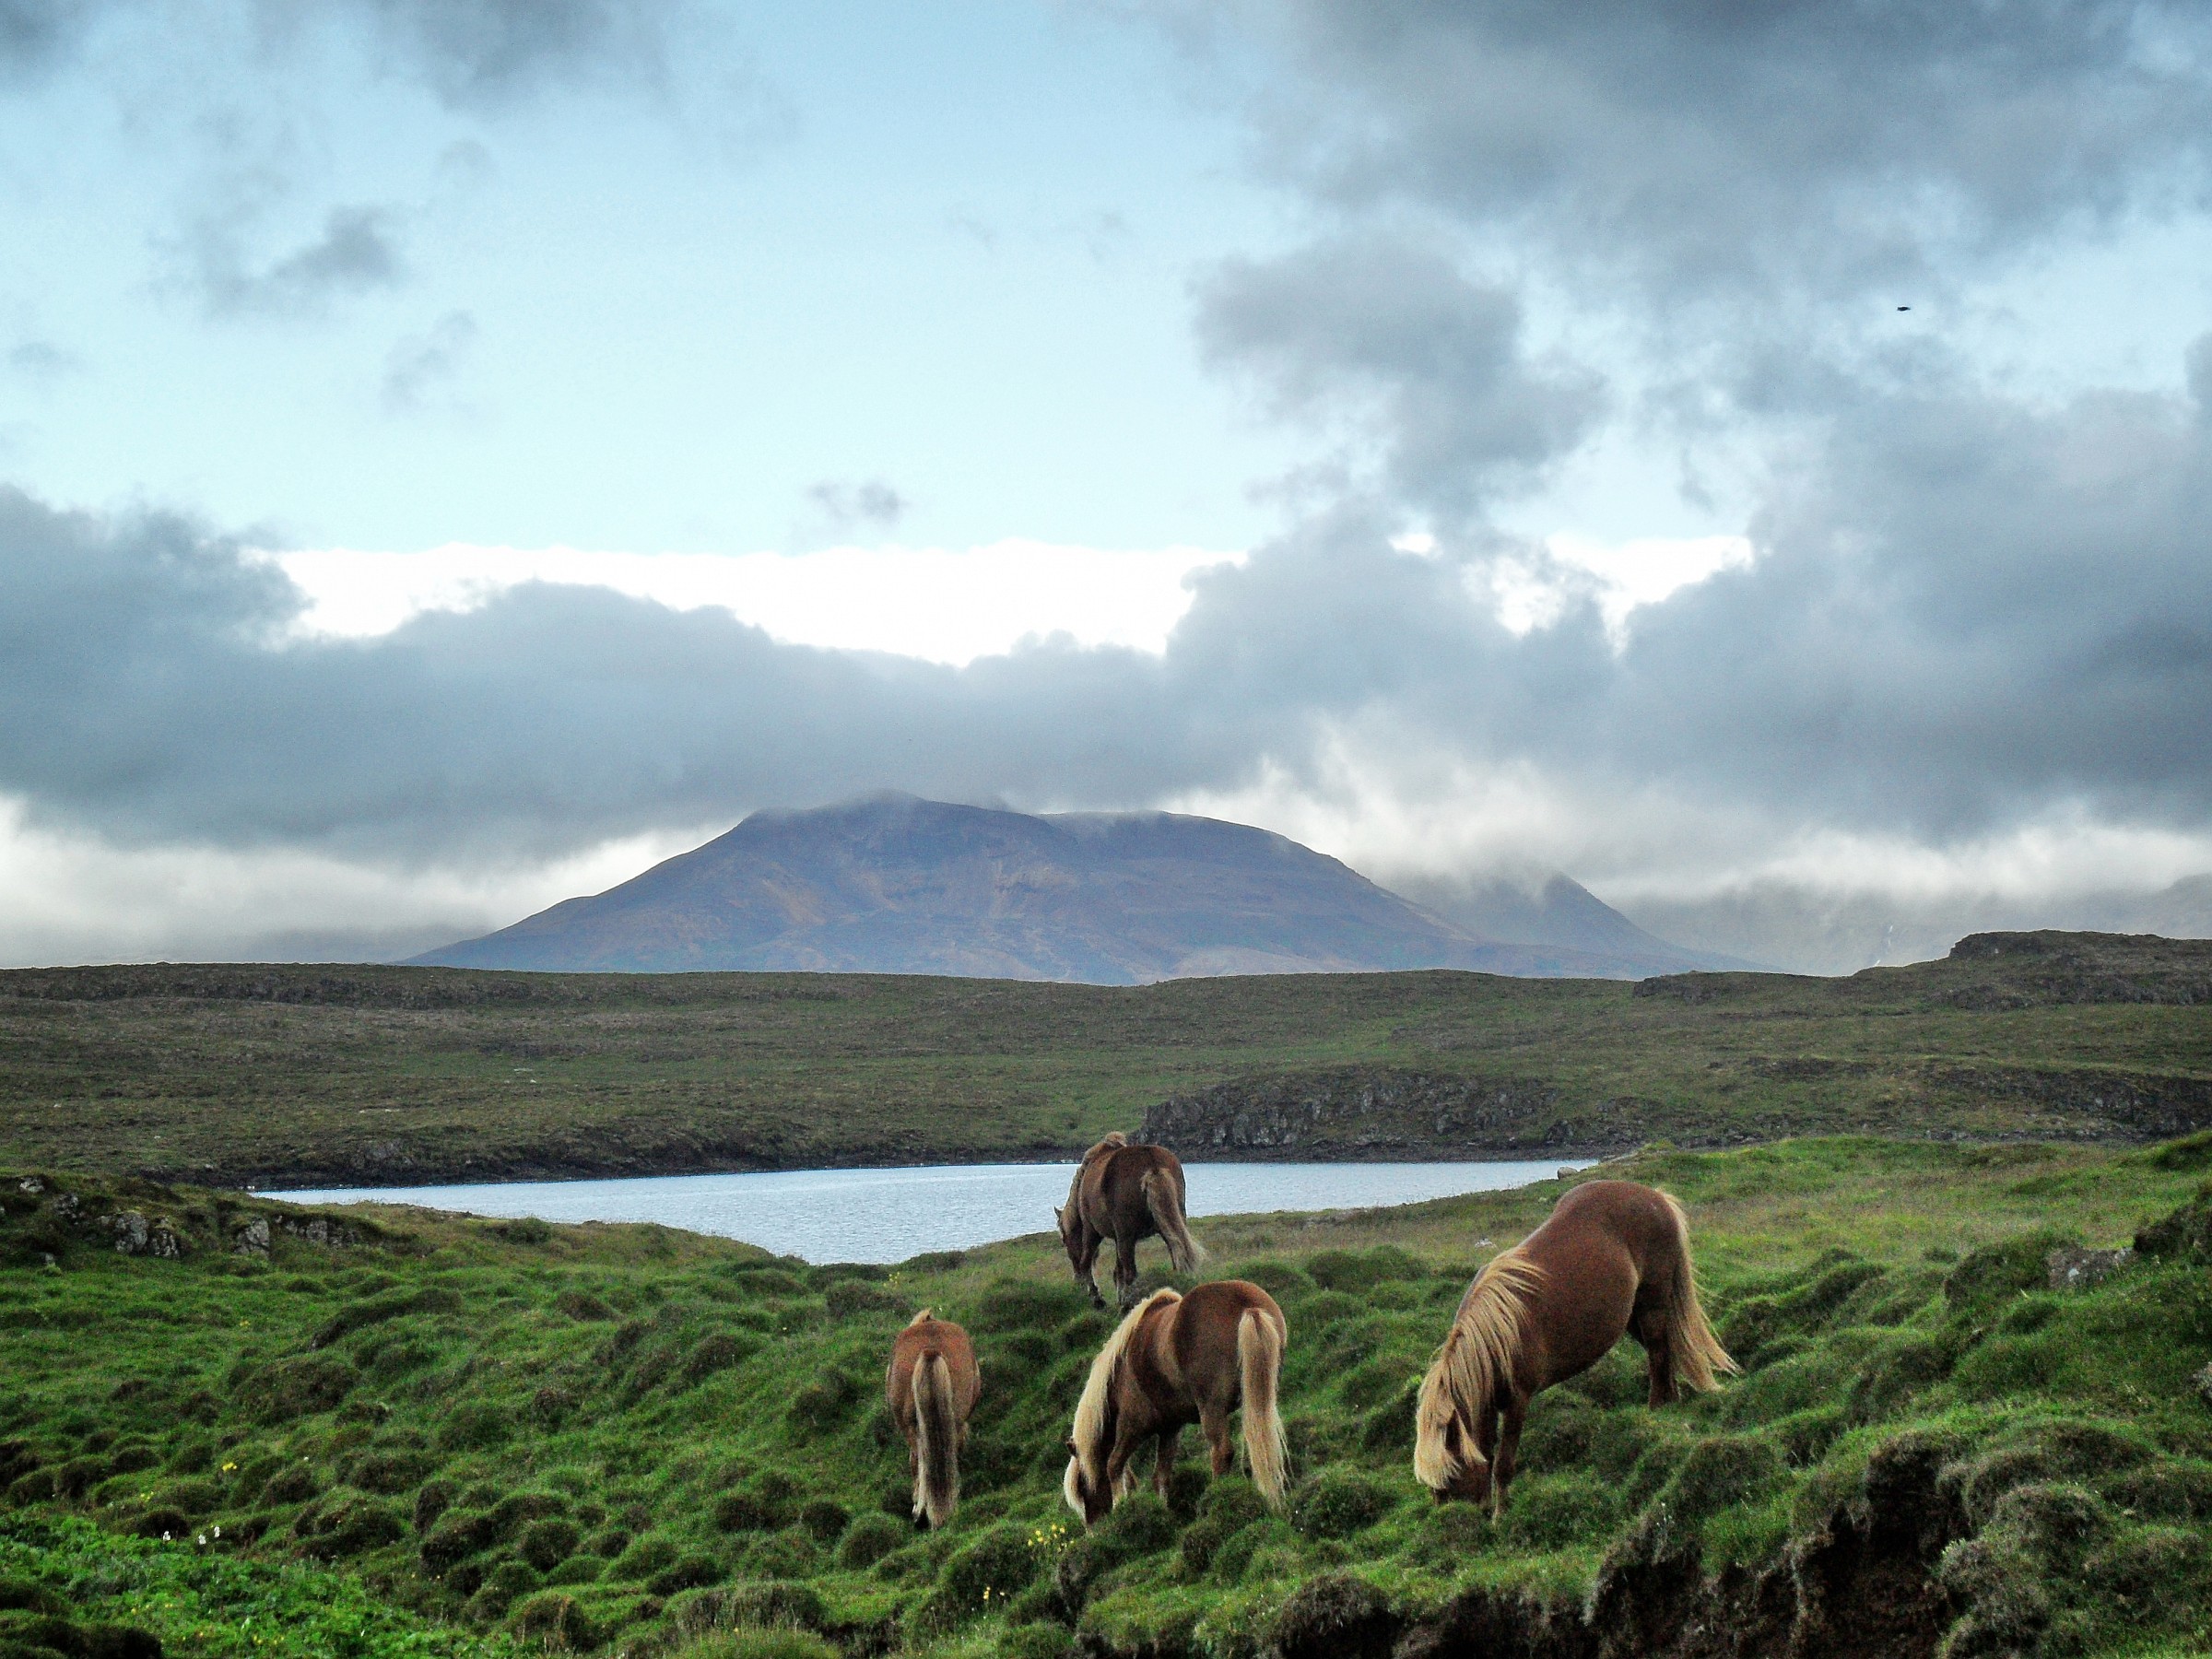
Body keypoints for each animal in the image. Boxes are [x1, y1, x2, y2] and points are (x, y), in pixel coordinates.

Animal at [1056, 1131, 1204, 1309]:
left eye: (1065, 1240)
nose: (1076, 1281)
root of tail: (1152, 1164)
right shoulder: (1118, 1237)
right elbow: (1117, 1270)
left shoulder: (1093, 1230)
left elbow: (1087, 1262)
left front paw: (1097, 1299)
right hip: (1169, 1227)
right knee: (1177, 1257)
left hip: (1126, 1235)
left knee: (1131, 1272)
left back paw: (1127, 1306)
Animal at [1062, 1279, 1288, 1525]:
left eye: (1082, 1485)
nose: (1093, 1527)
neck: (1120, 1372)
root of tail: (1248, 1306)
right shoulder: (1170, 1428)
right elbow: (1160, 1476)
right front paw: (1161, 1513)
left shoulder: (1132, 1425)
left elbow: (1114, 1465)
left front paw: (1122, 1507)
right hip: (1259, 1399)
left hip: (1212, 1410)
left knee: (1222, 1452)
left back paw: (1217, 1497)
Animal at [1413, 1179, 1736, 1514]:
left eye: (1452, 1474)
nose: (1450, 1518)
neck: (1498, 1331)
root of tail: (1656, 1197)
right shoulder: (1488, 1402)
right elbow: (1486, 1451)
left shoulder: (1517, 1401)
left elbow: (1502, 1464)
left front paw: (1501, 1515)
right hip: (1631, 1315)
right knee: (1662, 1352)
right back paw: (1672, 1401)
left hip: (1652, 1304)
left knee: (1659, 1353)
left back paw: (1658, 1407)